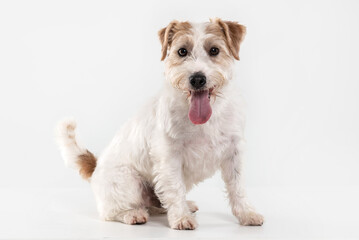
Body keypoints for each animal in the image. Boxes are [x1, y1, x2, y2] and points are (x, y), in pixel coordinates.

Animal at [56, 18, 264, 229]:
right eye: (182, 51)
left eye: (214, 50)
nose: (197, 79)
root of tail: (96, 168)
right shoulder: (170, 155)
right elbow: (175, 187)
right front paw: (181, 218)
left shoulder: (233, 151)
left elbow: (237, 187)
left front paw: (247, 214)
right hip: (129, 182)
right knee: (111, 212)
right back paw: (133, 214)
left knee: (158, 201)